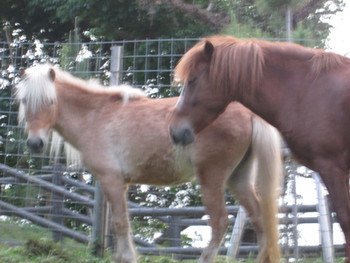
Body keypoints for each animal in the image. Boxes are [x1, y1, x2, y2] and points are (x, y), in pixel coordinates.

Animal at [16, 64, 284, 263]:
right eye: (25, 101)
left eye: (50, 101)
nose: (35, 143)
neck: (95, 116)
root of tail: (248, 113)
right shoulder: (119, 184)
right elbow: (119, 225)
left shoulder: (111, 180)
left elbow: (120, 223)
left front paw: (128, 258)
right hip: (238, 179)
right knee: (261, 221)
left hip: (212, 177)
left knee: (220, 223)